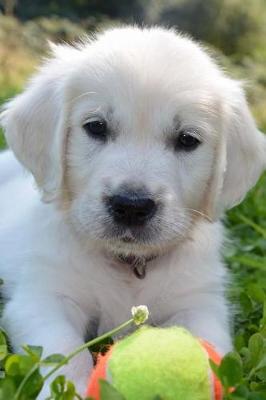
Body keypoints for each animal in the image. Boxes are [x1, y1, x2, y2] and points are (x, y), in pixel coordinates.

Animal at [0, 25, 266, 396]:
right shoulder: (44, 295)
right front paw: (72, 390)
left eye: (187, 139)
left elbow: (204, 345)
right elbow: (64, 350)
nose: (131, 206)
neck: (130, 265)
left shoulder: (199, 302)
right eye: (96, 127)